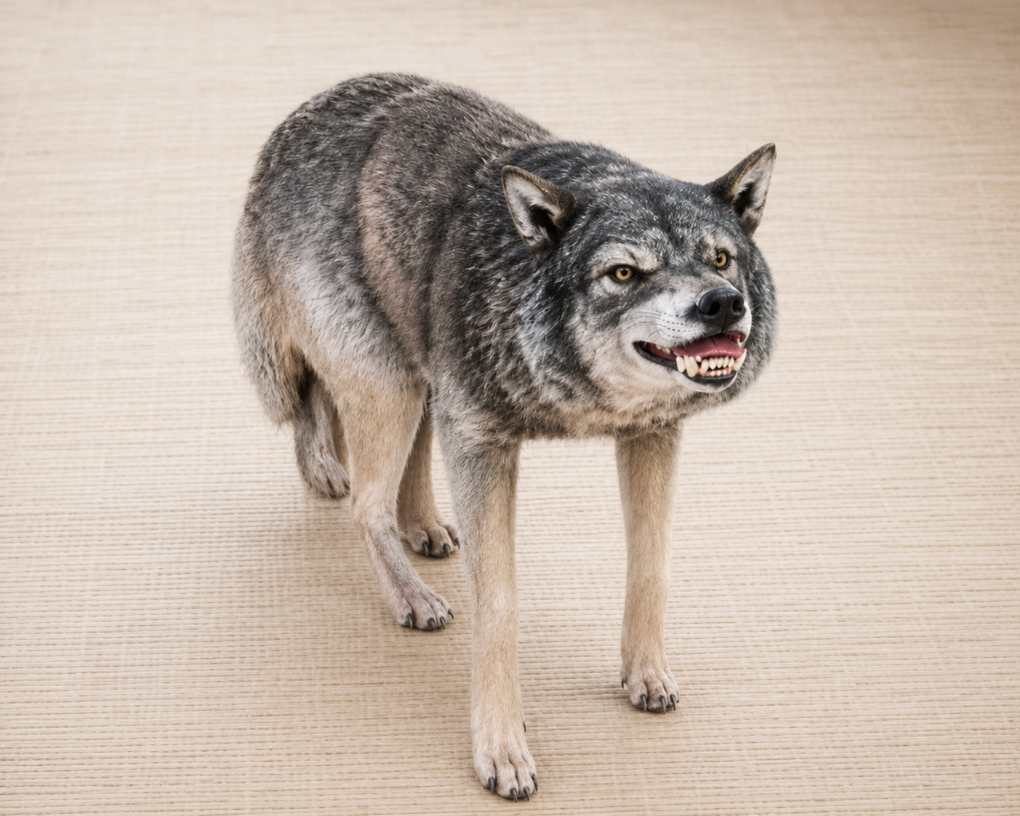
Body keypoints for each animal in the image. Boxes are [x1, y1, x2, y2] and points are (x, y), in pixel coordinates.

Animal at [231, 73, 776, 800]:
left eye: (719, 259)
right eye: (624, 273)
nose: (721, 304)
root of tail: (292, 125)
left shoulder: (651, 436)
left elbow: (650, 567)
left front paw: (646, 674)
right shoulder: (483, 443)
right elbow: (497, 606)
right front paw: (502, 749)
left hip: (424, 384)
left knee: (386, 462)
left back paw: (425, 525)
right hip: (392, 389)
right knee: (362, 501)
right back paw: (412, 593)